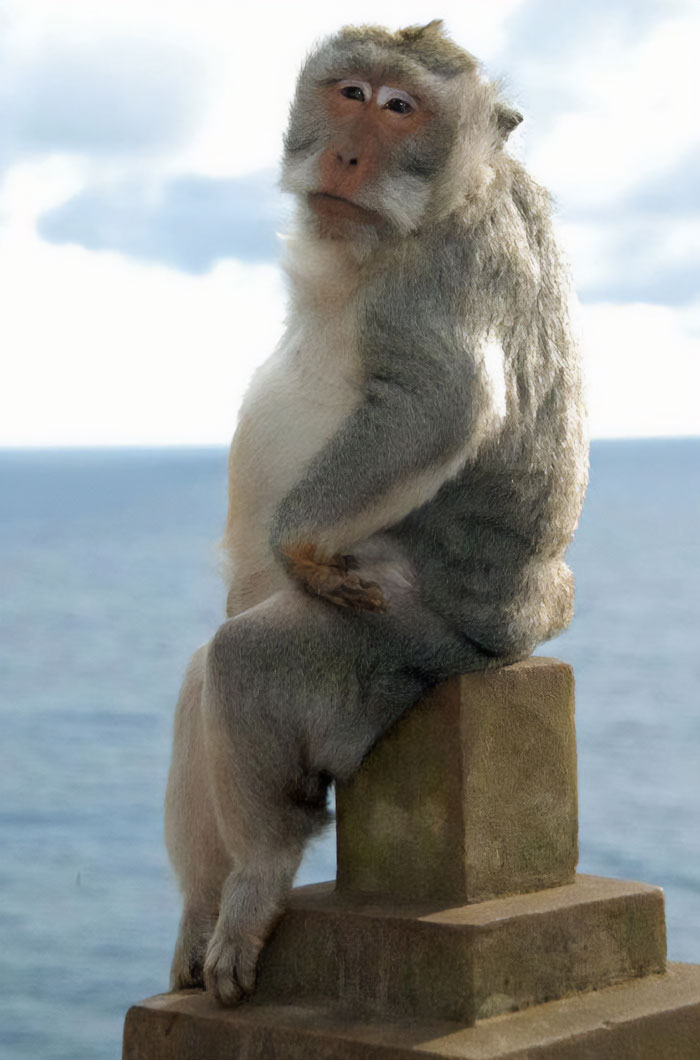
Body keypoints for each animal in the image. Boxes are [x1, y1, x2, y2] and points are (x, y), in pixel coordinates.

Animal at [164, 20, 588, 1007]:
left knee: (243, 662)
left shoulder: (441, 269)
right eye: (351, 93)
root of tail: (525, 633)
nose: (350, 153)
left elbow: (439, 401)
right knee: (205, 674)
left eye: (401, 108)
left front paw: (298, 541)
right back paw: (202, 911)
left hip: (403, 640)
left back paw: (257, 880)